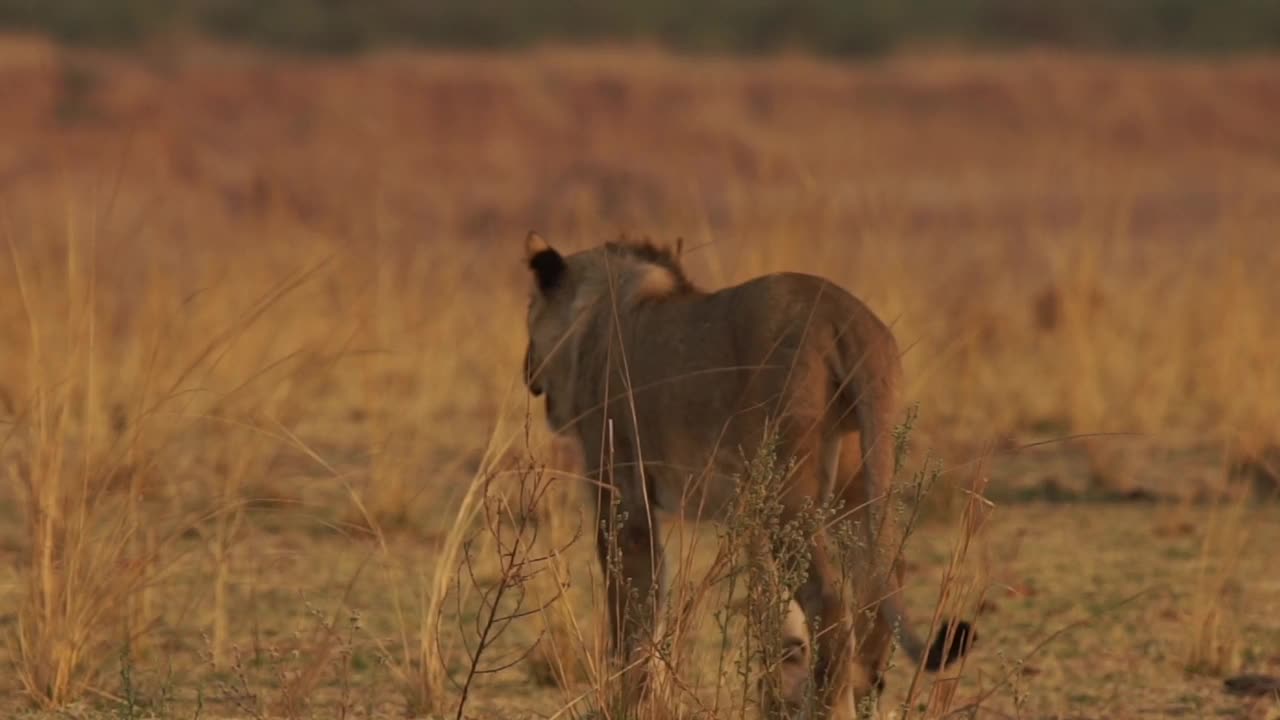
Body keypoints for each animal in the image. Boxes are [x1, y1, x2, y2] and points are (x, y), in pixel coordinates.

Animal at [519, 233, 967, 712]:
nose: (526, 368)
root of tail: (844, 312)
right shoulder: (744, 514)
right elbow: (777, 613)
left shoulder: (622, 491)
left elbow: (635, 608)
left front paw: (631, 701)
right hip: (853, 483)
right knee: (881, 578)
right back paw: (859, 692)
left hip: (790, 488)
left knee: (829, 599)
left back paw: (830, 706)